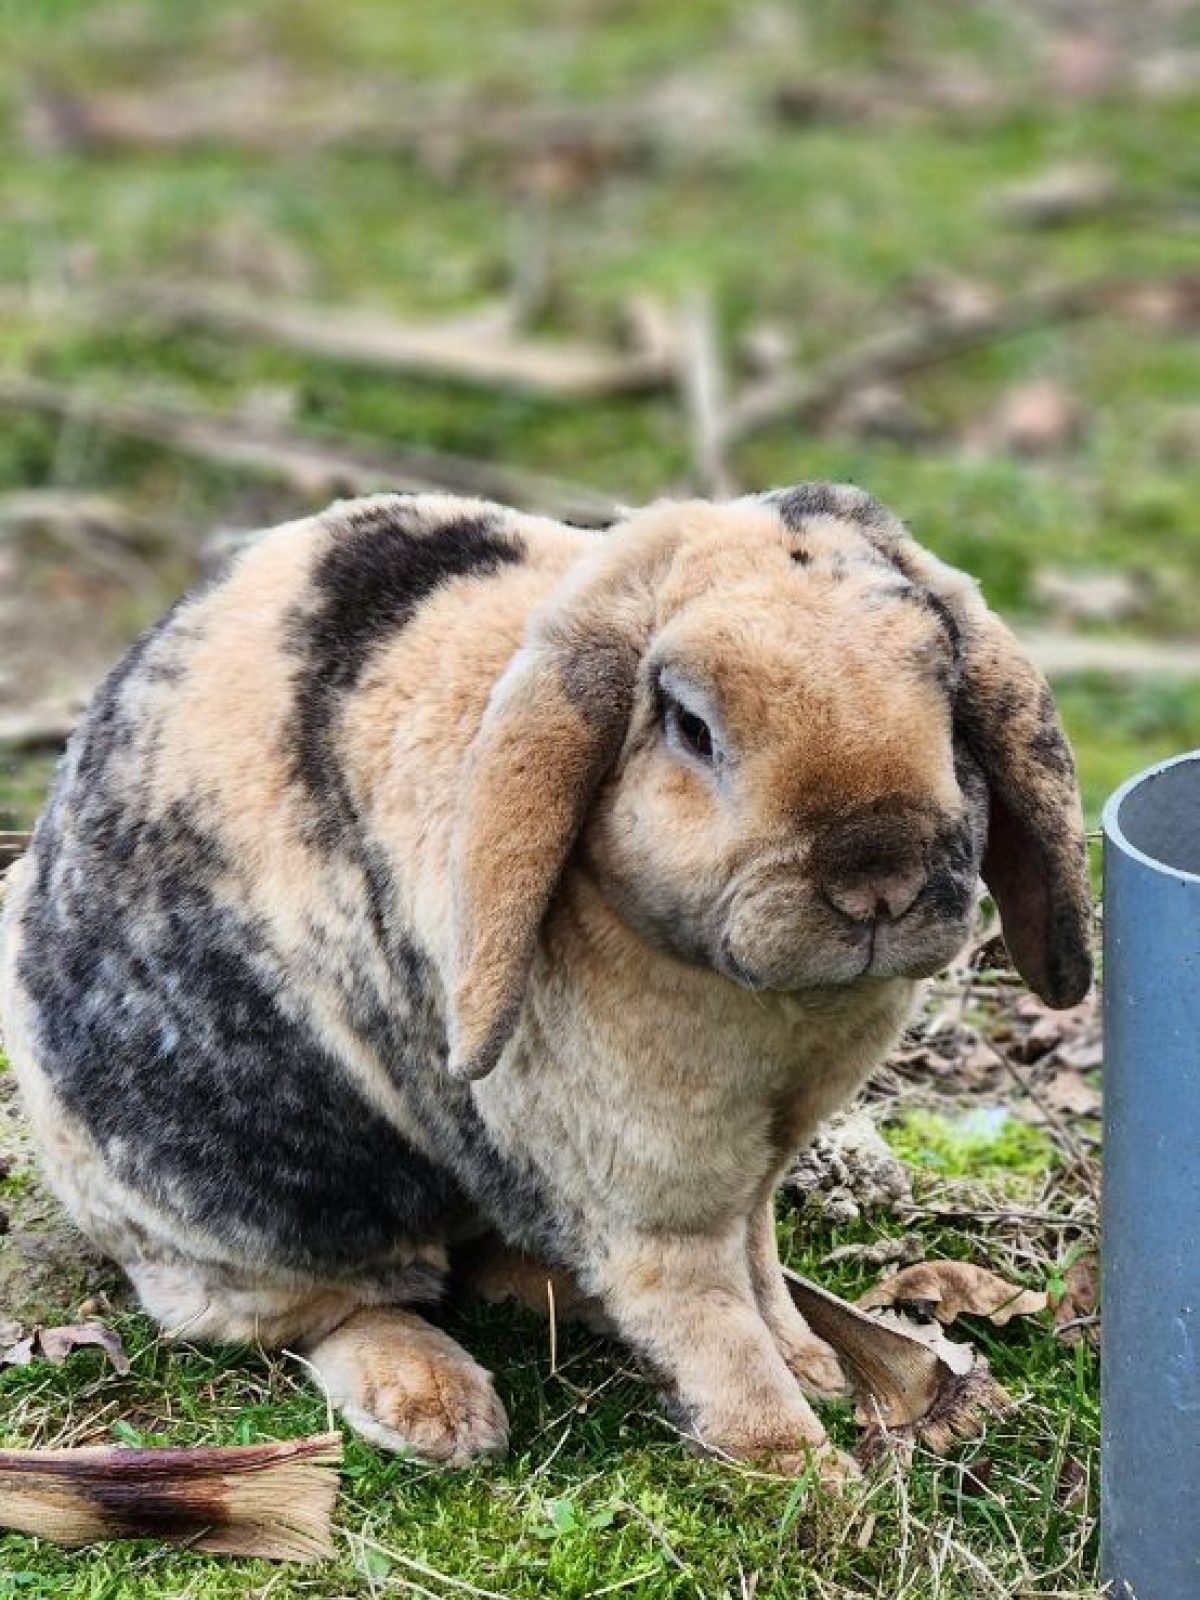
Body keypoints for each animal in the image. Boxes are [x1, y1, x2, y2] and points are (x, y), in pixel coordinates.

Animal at [0, 483, 1091, 1476]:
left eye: (945, 686)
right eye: (692, 725)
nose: (877, 881)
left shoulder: (756, 1170)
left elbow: (759, 1262)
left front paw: (815, 1367)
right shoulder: (653, 1190)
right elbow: (707, 1317)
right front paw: (799, 1471)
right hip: (250, 1213)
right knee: (327, 1311)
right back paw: (439, 1411)